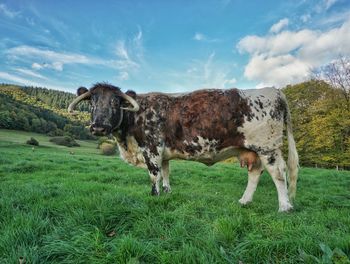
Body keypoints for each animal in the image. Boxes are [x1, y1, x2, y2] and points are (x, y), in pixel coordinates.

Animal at [68, 83, 298, 211]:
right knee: (255, 173)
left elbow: (154, 175)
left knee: (278, 173)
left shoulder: (151, 148)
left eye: (116, 102)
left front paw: (155, 196)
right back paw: (245, 201)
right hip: (252, 150)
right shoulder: (163, 154)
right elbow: (166, 173)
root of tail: (274, 91)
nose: (98, 126)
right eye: (92, 102)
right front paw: (167, 192)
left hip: (267, 147)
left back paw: (284, 206)